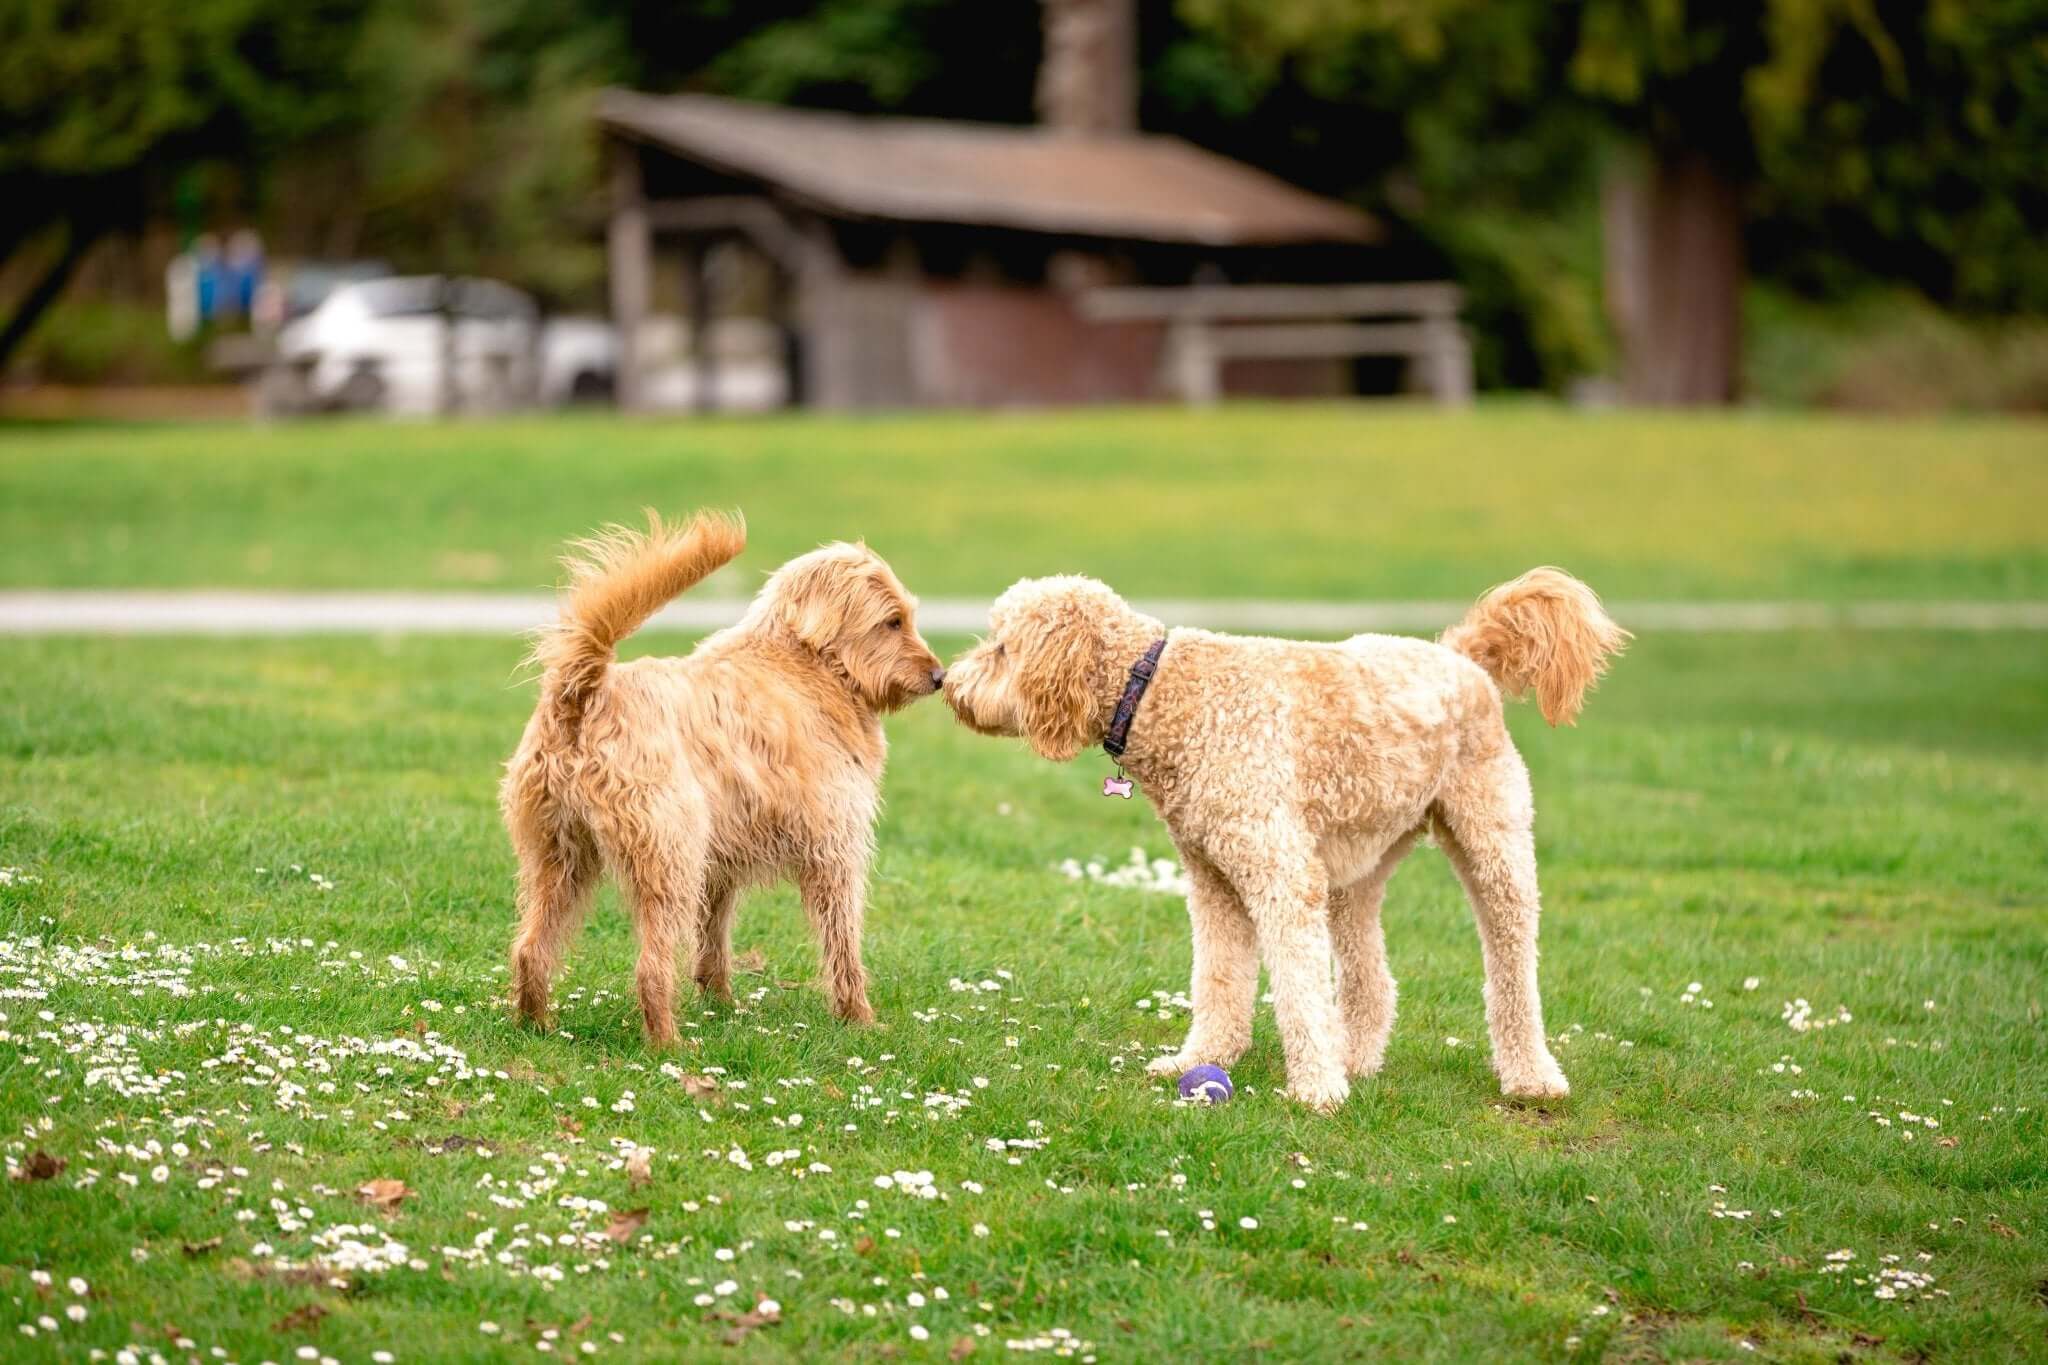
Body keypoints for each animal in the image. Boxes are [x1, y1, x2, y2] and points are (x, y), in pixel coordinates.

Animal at [499, 511, 946, 1047]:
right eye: (892, 621)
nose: (940, 677)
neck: (808, 665)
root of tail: (582, 694)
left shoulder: (722, 865)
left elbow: (713, 942)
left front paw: (721, 1005)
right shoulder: (835, 849)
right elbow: (843, 945)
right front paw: (859, 1018)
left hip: (560, 858)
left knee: (531, 948)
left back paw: (536, 1026)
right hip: (669, 858)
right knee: (650, 968)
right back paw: (668, 1043)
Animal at [942, 564, 1630, 1113]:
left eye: (1002, 648)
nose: (949, 683)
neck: (1161, 691)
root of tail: (1460, 655)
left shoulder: (1279, 875)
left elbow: (1297, 989)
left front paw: (1315, 1092)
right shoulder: (1214, 881)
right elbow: (1219, 980)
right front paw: (1201, 1058)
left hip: (1492, 841)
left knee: (1513, 965)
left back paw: (1531, 1076)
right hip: (1357, 866)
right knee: (1371, 978)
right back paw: (1356, 1059)